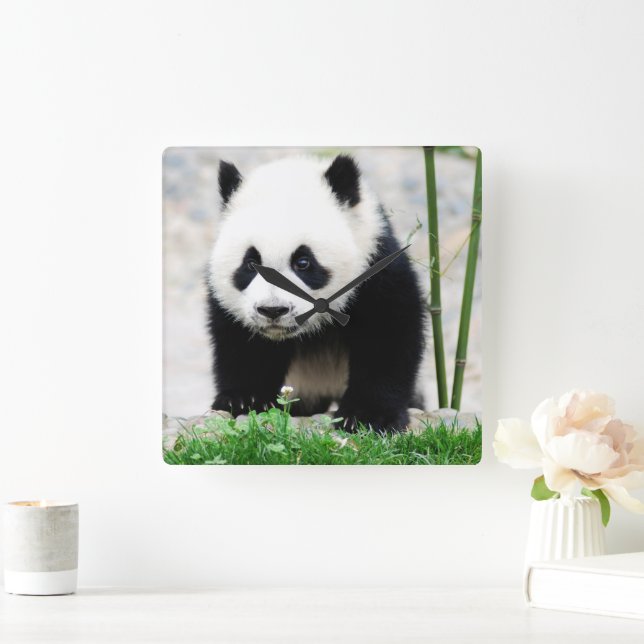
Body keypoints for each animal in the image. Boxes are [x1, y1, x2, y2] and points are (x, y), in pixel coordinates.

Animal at [207, 154, 425, 432]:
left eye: (303, 262)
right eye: (250, 263)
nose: (273, 310)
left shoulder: (376, 265)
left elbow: (387, 334)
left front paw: (367, 416)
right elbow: (241, 344)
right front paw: (244, 400)